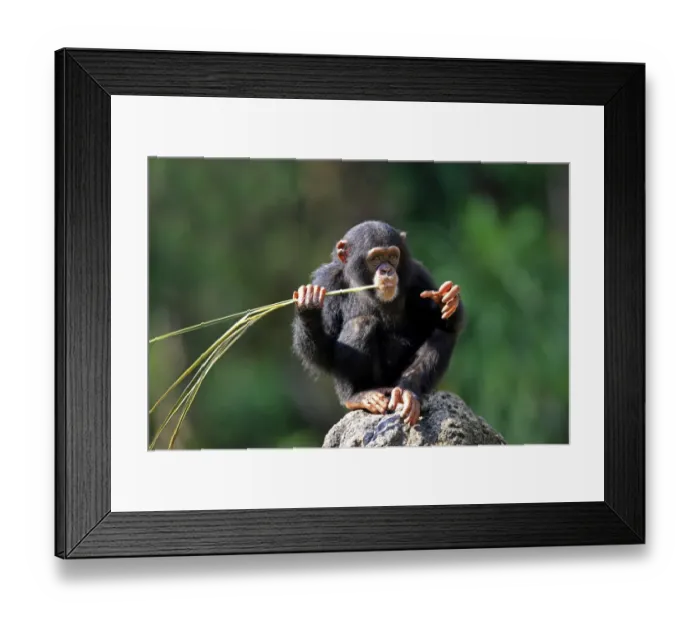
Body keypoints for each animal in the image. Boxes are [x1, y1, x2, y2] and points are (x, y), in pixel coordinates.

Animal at [291, 220, 464, 427]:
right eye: (376, 258)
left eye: (392, 256)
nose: (387, 270)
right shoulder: (327, 282)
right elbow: (323, 354)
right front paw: (308, 304)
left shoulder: (419, 276)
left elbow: (443, 324)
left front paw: (447, 300)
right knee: (361, 324)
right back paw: (358, 396)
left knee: (442, 333)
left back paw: (407, 392)